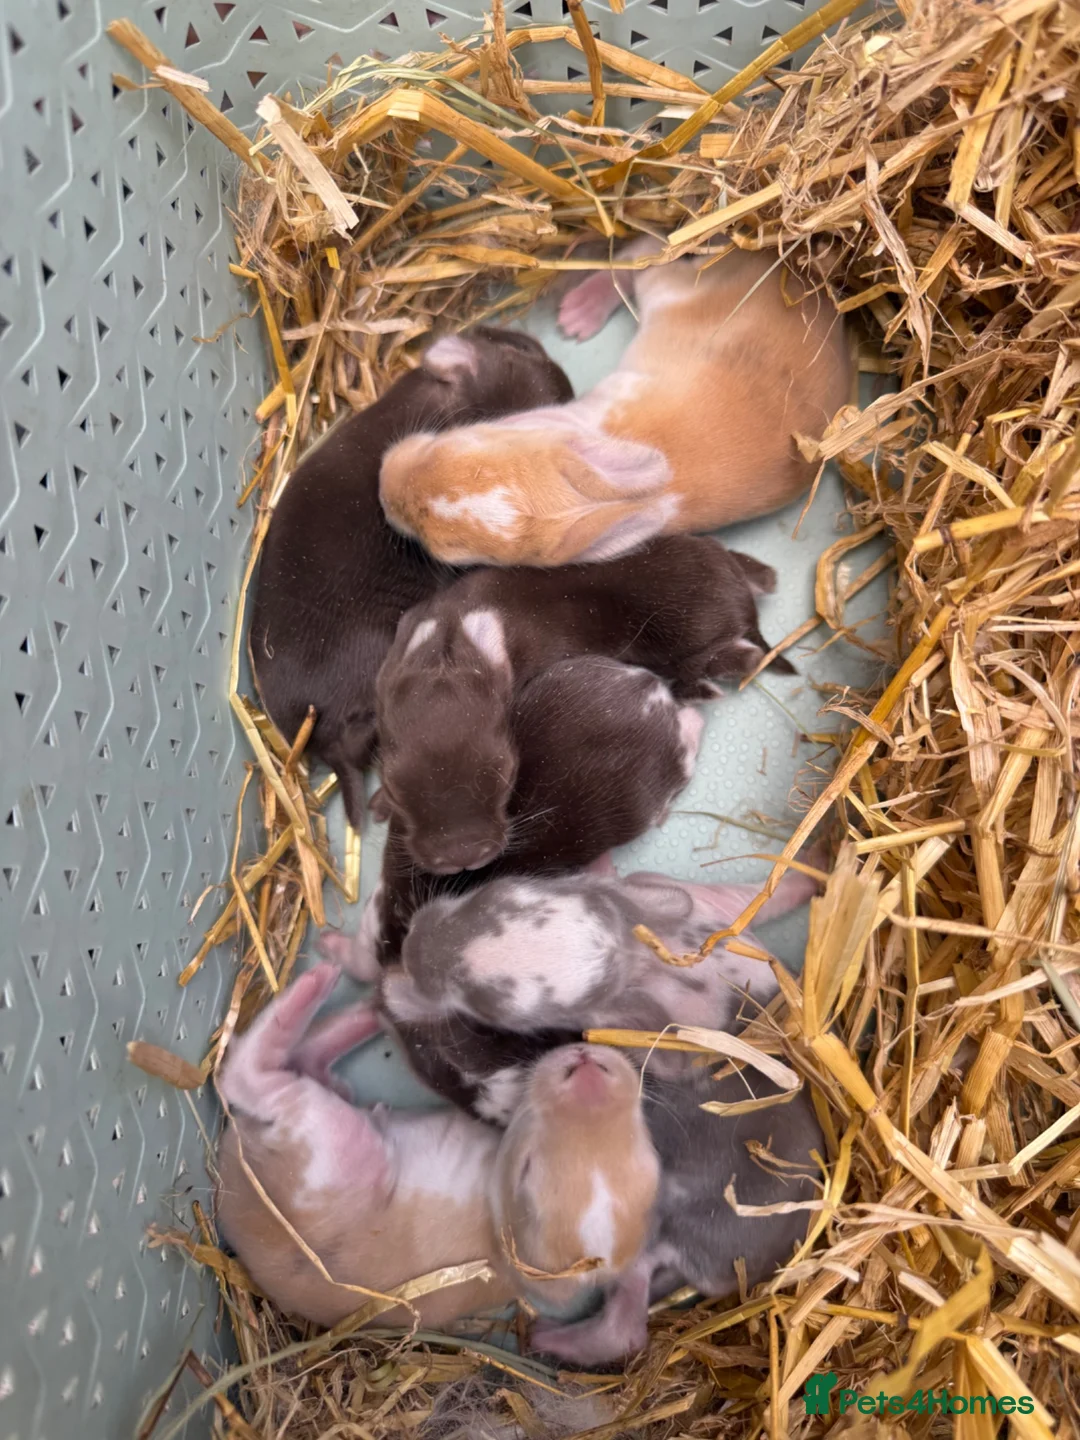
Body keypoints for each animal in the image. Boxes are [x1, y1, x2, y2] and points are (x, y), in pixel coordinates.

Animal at [375, 535, 782, 874]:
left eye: (508, 774)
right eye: (393, 788)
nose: (461, 856)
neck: (447, 646)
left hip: (695, 638)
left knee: (730, 659)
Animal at [378, 240, 850, 568]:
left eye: (451, 554)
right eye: (456, 444)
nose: (382, 487)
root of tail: (796, 275)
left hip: (672, 290)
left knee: (641, 257)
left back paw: (581, 310)